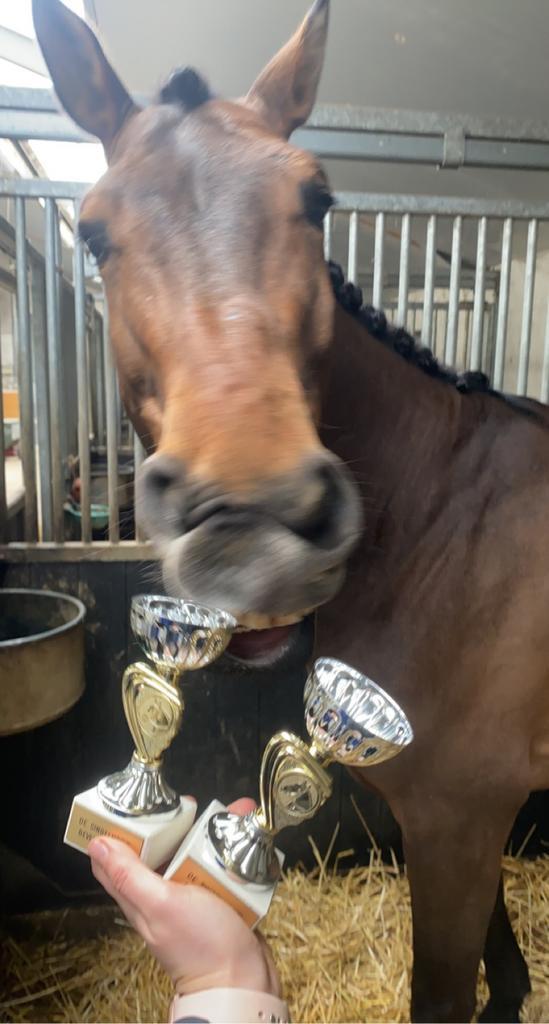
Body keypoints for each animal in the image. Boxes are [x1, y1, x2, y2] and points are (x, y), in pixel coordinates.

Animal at [33, 1, 549, 1020]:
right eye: (95, 235)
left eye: (316, 200)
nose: (254, 529)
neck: (444, 525)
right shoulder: (453, 820)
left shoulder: (461, 819)